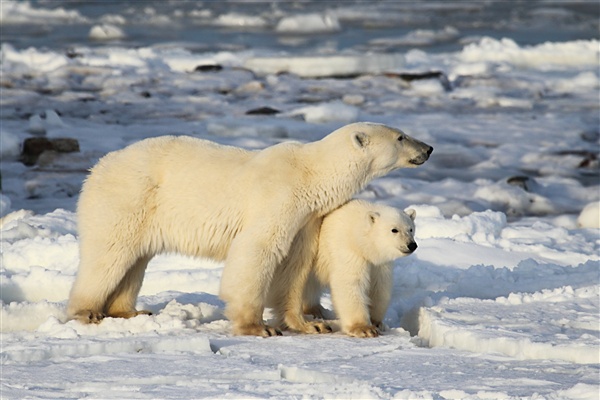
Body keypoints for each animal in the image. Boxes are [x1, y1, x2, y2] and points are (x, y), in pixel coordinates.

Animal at [67, 121, 432, 334]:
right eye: (400, 136)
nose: (428, 148)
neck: (310, 174)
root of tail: (99, 166)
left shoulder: (306, 218)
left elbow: (295, 266)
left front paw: (309, 324)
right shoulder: (278, 198)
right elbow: (257, 251)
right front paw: (256, 326)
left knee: (135, 260)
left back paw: (129, 311)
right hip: (127, 199)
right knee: (109, 253)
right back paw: (88, 312)